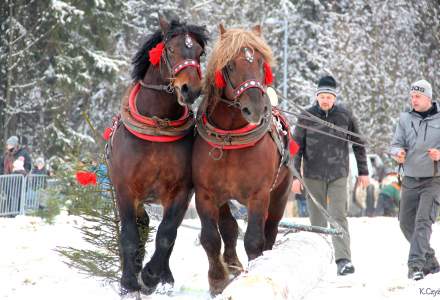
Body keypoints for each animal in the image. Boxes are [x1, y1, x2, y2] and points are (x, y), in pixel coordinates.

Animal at [107, 16, 210, 296]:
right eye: (171, 50)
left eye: (200, 52)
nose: (190, 89)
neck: (157, 125)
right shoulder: (125, 189)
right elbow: (129, 234)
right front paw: (129, 281)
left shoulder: (182, 191)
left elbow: (167, 234)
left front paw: (152, 276)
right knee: (139, 226)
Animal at [192, 25, 296, 296]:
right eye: (230, 65)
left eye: (260, 62)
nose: (256, 108)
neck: (231, 138)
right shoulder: (205, 193)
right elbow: (211, 237)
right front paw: (218, 280)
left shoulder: (259, 194)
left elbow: (254, 240)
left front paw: (256, 271)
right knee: (228, 227)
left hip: (281, 194)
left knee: (270, 230)